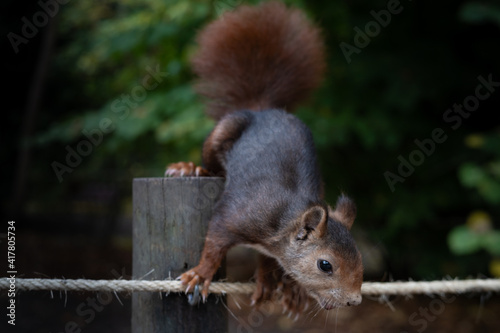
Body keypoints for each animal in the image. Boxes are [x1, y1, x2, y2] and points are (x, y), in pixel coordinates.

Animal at [167, 1, 364, 312]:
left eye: (359, 256)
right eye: (325, 265)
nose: (353, 301)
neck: (286, 219)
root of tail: (263, 110)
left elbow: (270, 260)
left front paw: (273, 281)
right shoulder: (235, 215)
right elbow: (214, 244)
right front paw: (200, 274)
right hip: (223, 132)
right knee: (212, 166)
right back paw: (191, 168)